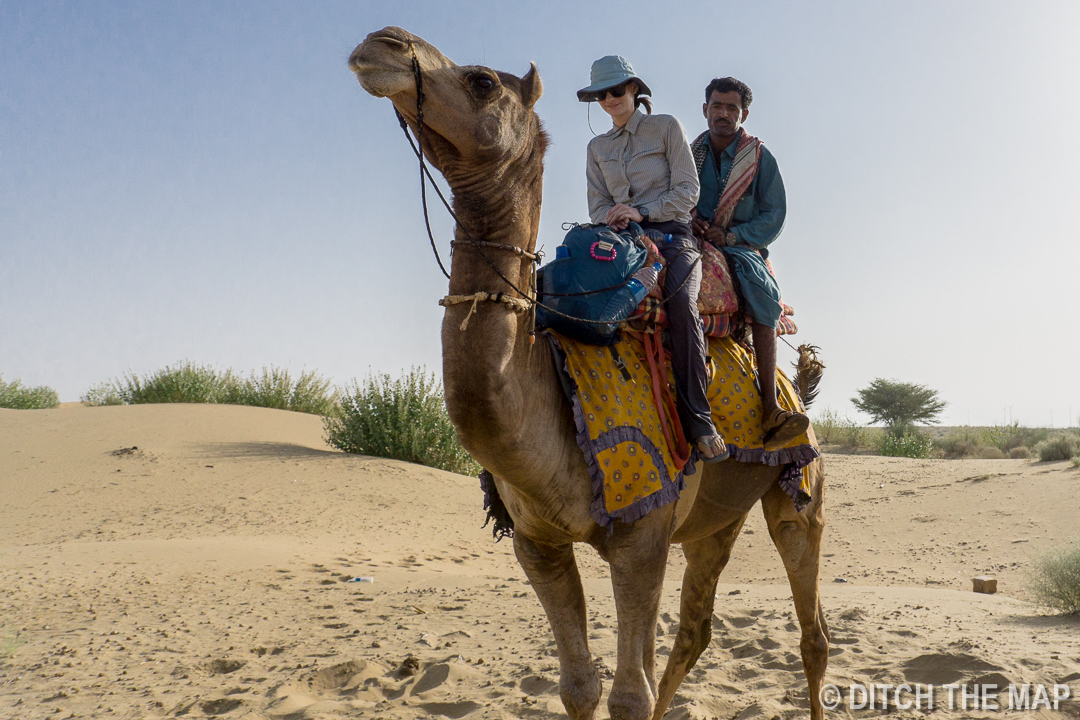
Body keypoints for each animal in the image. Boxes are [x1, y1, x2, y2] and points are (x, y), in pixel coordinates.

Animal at [349, 28, 829, 720]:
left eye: (481, 82)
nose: (382, 43)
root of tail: (796, 386)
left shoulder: (642, 535)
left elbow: (629, 694)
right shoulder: (535, 542)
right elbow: (580, 685)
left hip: (800, 485)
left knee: (811, 628)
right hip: (716, 516)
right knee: (694, 627)